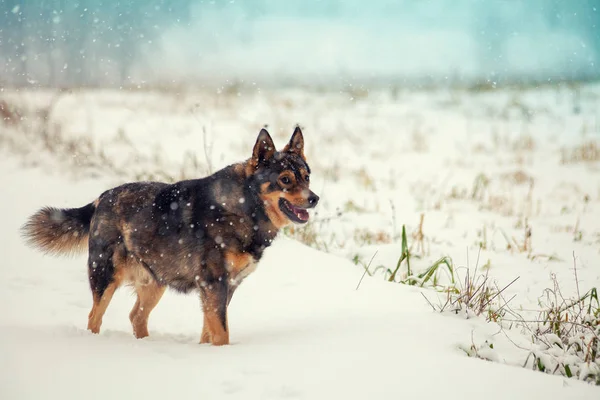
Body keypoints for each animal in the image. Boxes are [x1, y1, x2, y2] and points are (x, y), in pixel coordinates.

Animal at [22, 127, 318, 344]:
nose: (314, 199)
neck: (244, 205)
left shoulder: (225, 287)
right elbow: (221, 332)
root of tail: (102, 198)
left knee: (136, 317)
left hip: (156, 280)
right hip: (105, 276)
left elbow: (210, 330)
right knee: (95, 316)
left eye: (307, 177)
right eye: (285, 180)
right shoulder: (214, 284)